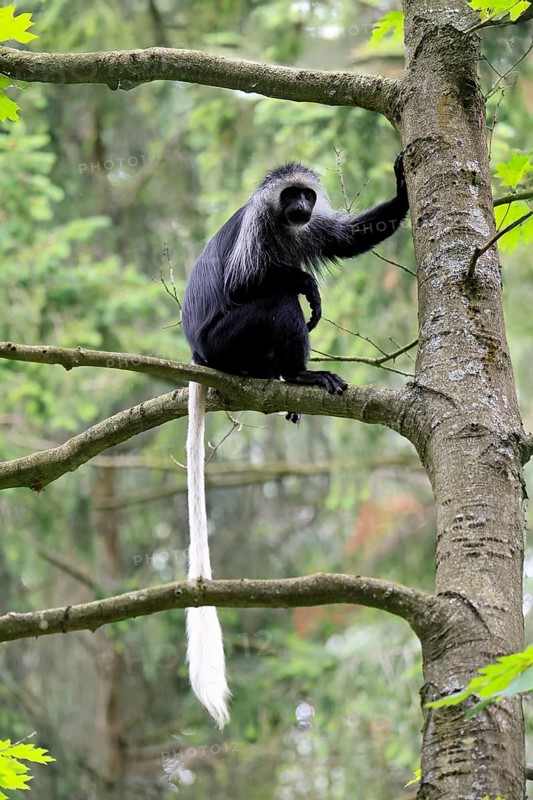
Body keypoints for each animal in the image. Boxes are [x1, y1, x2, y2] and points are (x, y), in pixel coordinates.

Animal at [181, 154, 409, 727]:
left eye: (308, 196)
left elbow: (347, 238)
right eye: (292, 197)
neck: (284, 224)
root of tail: (198, 354)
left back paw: (287, 382)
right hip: (229, 339)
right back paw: (303, 372)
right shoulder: (259, 230)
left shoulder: (309, 229)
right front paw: (308, 283)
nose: (304, 205)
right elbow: (250, 283)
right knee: (276, 300)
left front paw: (401, 181)